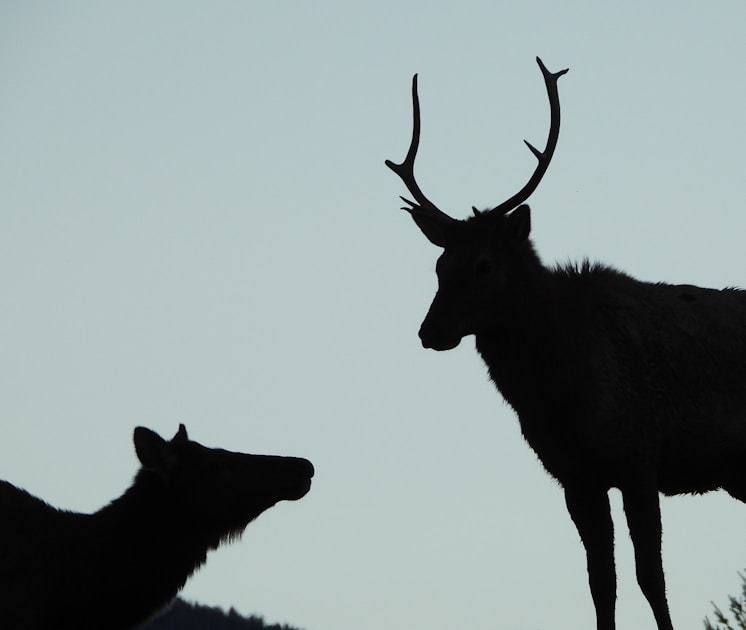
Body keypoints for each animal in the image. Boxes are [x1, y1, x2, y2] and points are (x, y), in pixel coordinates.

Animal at [386, 57, 746, 630]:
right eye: (440, 265)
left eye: (484, 265)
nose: (430, 331)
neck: (563, 394)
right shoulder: (575, 478)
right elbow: (601, 584)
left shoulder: (640, 455)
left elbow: (651, 577)